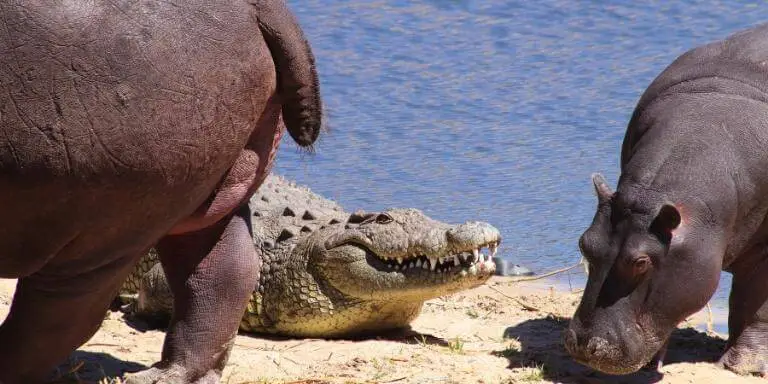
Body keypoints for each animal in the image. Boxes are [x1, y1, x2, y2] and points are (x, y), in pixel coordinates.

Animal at [0, 1, 320, 382]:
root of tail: (258, 6)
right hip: (211, 191)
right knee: (222, 272)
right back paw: (171, 374)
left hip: (103, 220)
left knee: (59, 316)